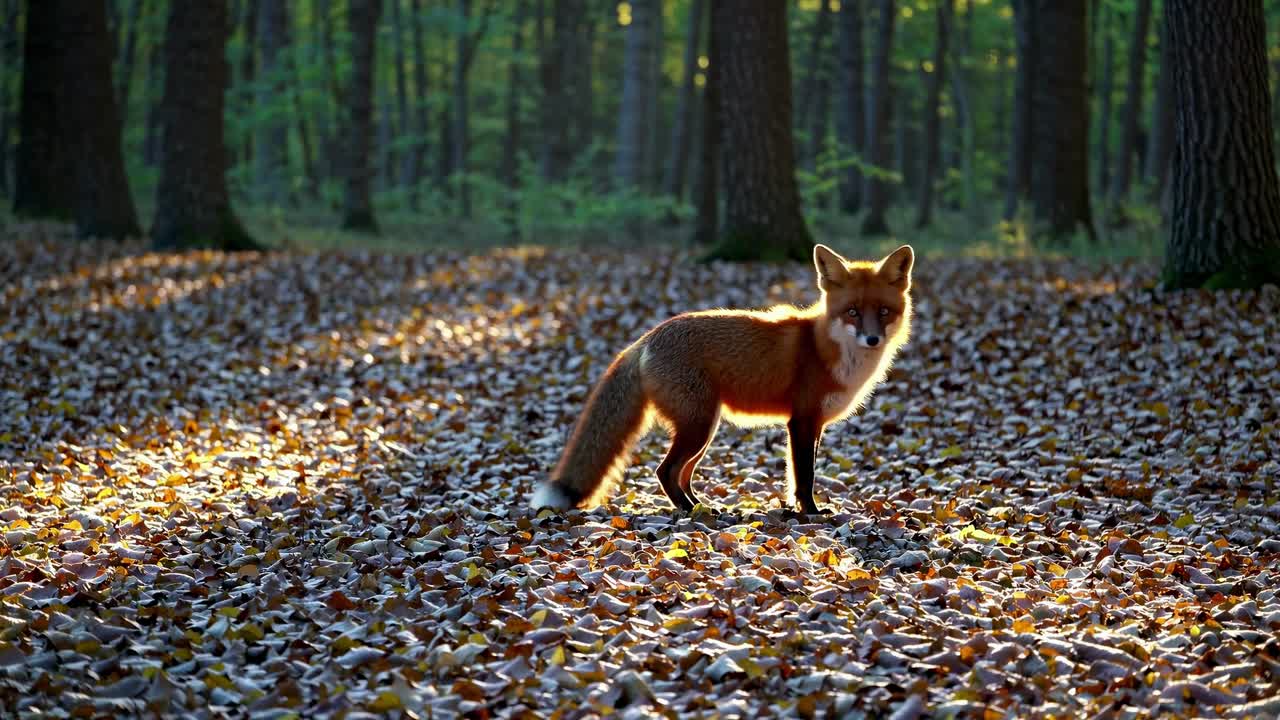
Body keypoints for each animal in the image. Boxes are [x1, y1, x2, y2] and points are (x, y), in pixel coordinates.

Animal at [531, 243, 914, 515]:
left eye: (883, 312)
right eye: (852, 312)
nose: (872, 340)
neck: (827, 350)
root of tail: (646, 339)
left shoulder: (813, 423)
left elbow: (799, 475)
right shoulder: (802, 420)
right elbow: (805, 477)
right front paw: (812, 513)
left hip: (704, 427)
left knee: (681, 473)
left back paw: (702, 506)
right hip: (699, 425)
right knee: (665, 471)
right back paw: (690, 511)